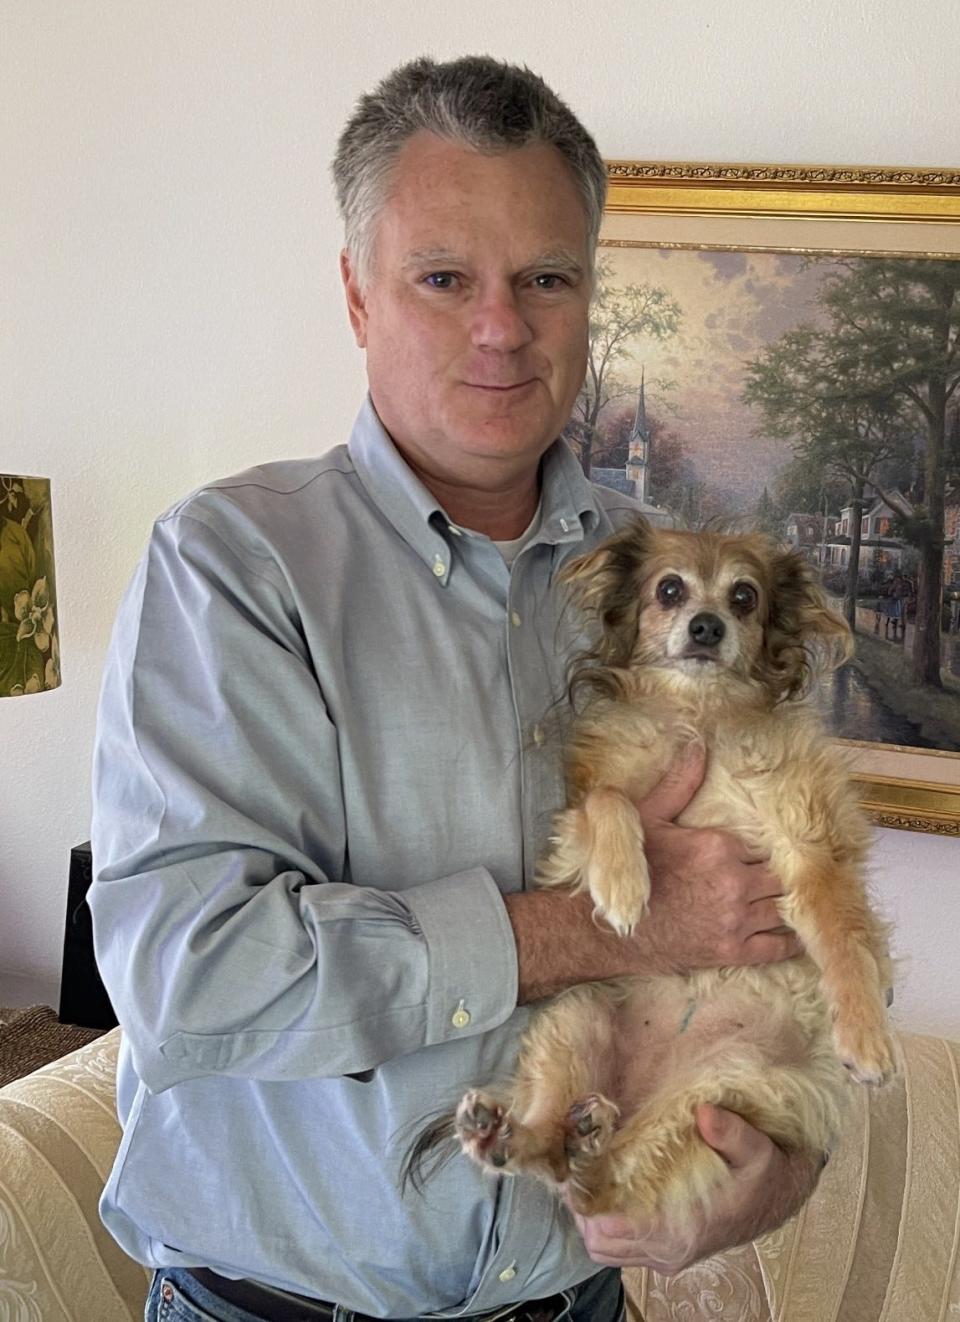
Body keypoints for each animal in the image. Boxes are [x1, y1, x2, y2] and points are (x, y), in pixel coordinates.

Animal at [409, 512, 899, 1226]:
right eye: (669, 590)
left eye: (744, 597)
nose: (707, 626)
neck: (699, 716)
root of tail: (638, 1097)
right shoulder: (575, 830)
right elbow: (610, 801)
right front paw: (624, 880)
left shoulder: (808, 847)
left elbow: (842, 938)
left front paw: (865, 1032)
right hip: (577, 1016)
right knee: (557, 1166)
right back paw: (514, 1135)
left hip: (708, 1099)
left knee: (594, 1185)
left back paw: (577, 1140)